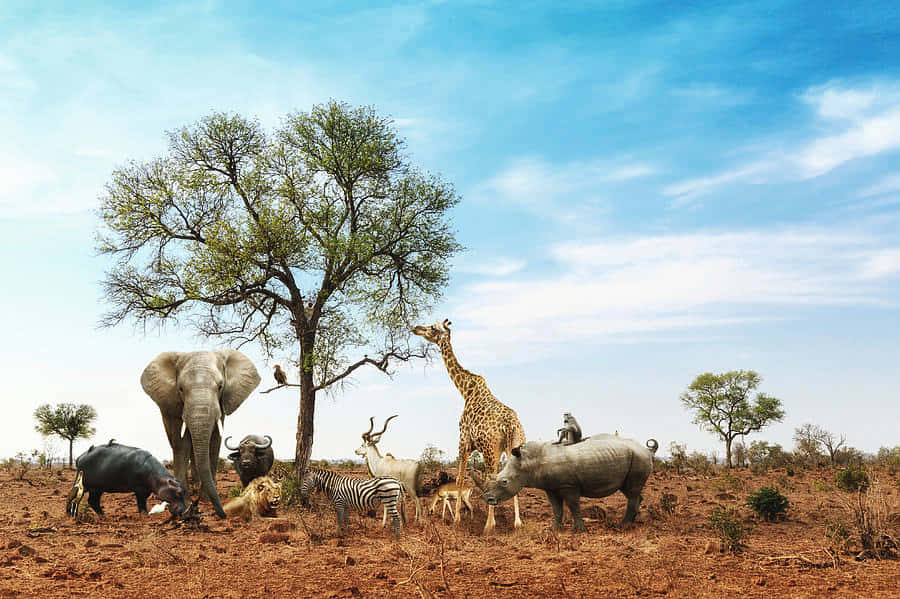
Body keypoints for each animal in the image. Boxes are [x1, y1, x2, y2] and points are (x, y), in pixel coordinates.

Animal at [141, 350, 261, 518]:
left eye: (220, 386)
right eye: (180, 389)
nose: (223, 514)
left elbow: (214, 441)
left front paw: (205, 498)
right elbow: (181, 444)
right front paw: (183, 505)